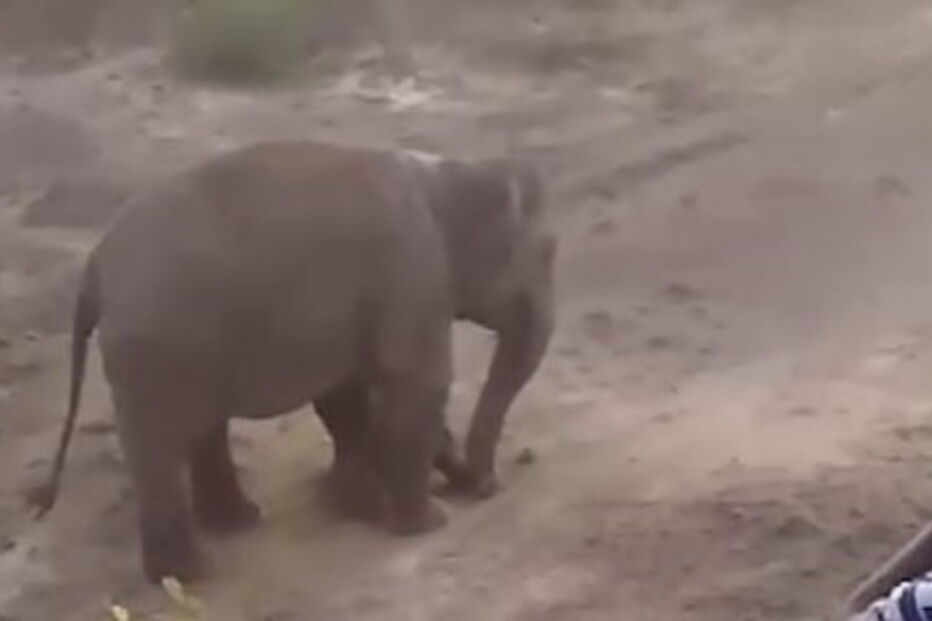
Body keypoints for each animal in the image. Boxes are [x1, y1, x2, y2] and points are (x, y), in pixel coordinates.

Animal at [30, 140, 556, 583]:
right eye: (548, 255)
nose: (485, 485)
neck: (450, 173)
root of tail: (95, 268)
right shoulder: (414, 273)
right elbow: (419, 385)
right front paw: (426, 522)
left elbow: (344, 395)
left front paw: (358, 503)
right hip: (156, 348)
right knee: (161, 447)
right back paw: (191, 574)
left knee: (201, 428)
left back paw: (238, 523)